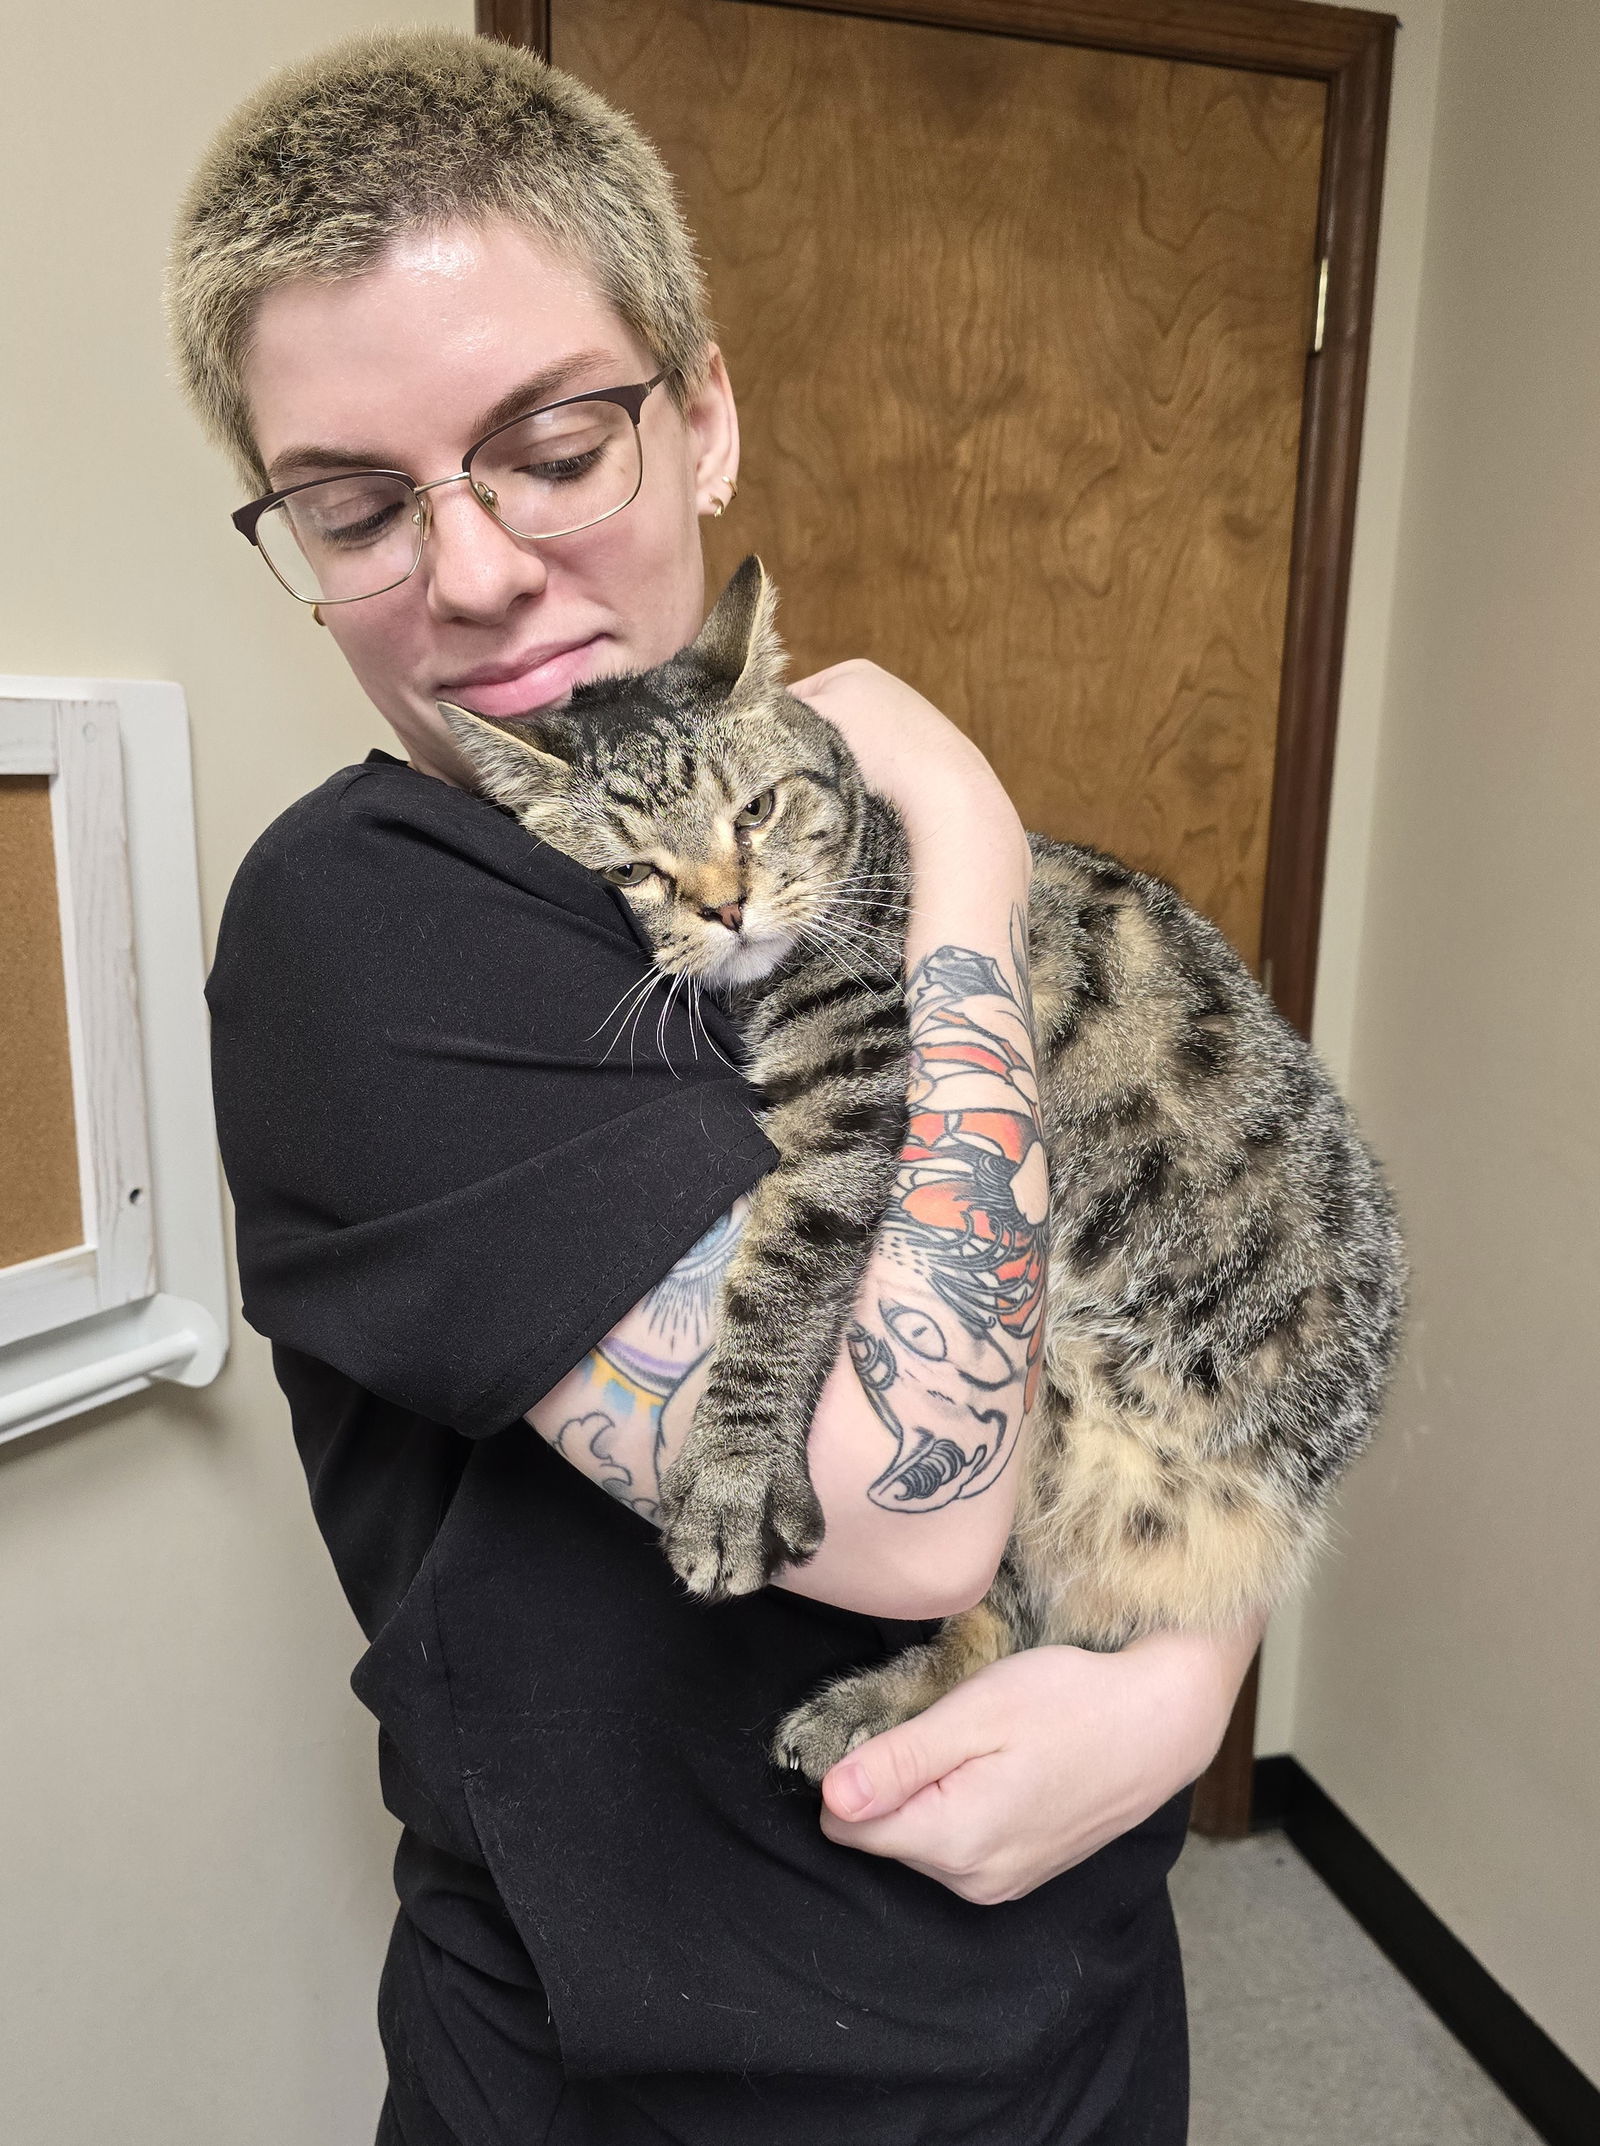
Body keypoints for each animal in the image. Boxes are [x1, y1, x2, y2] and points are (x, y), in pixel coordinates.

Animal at [435, 553, 1398, 1776]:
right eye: (635, 870)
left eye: (756, 809)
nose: (726, 905)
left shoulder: (856, 1085)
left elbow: (780, 1279)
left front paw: (732, 1475)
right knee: (1005, 1623)